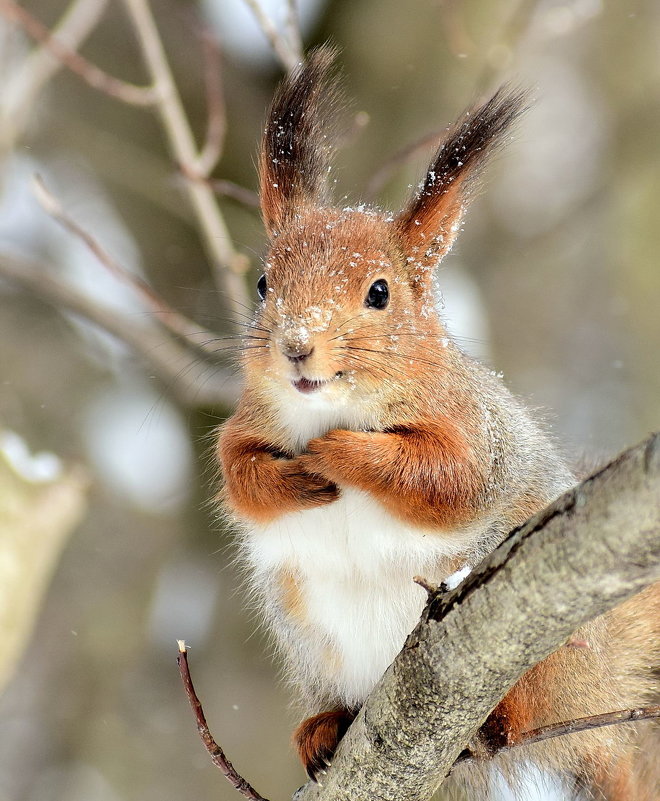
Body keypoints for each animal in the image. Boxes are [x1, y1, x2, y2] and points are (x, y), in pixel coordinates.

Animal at [215, 50, 656, 800]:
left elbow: (446, 480)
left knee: (520, 717)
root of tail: (599, 700)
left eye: (380, 293)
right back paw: (324, 728)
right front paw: (291, 478)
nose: (297, 349)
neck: (329, 404)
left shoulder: (475, 432)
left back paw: (495, 722)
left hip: (543, 655)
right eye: (264, 284)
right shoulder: (249, 420)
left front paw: (341, 452)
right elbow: (237, 473)